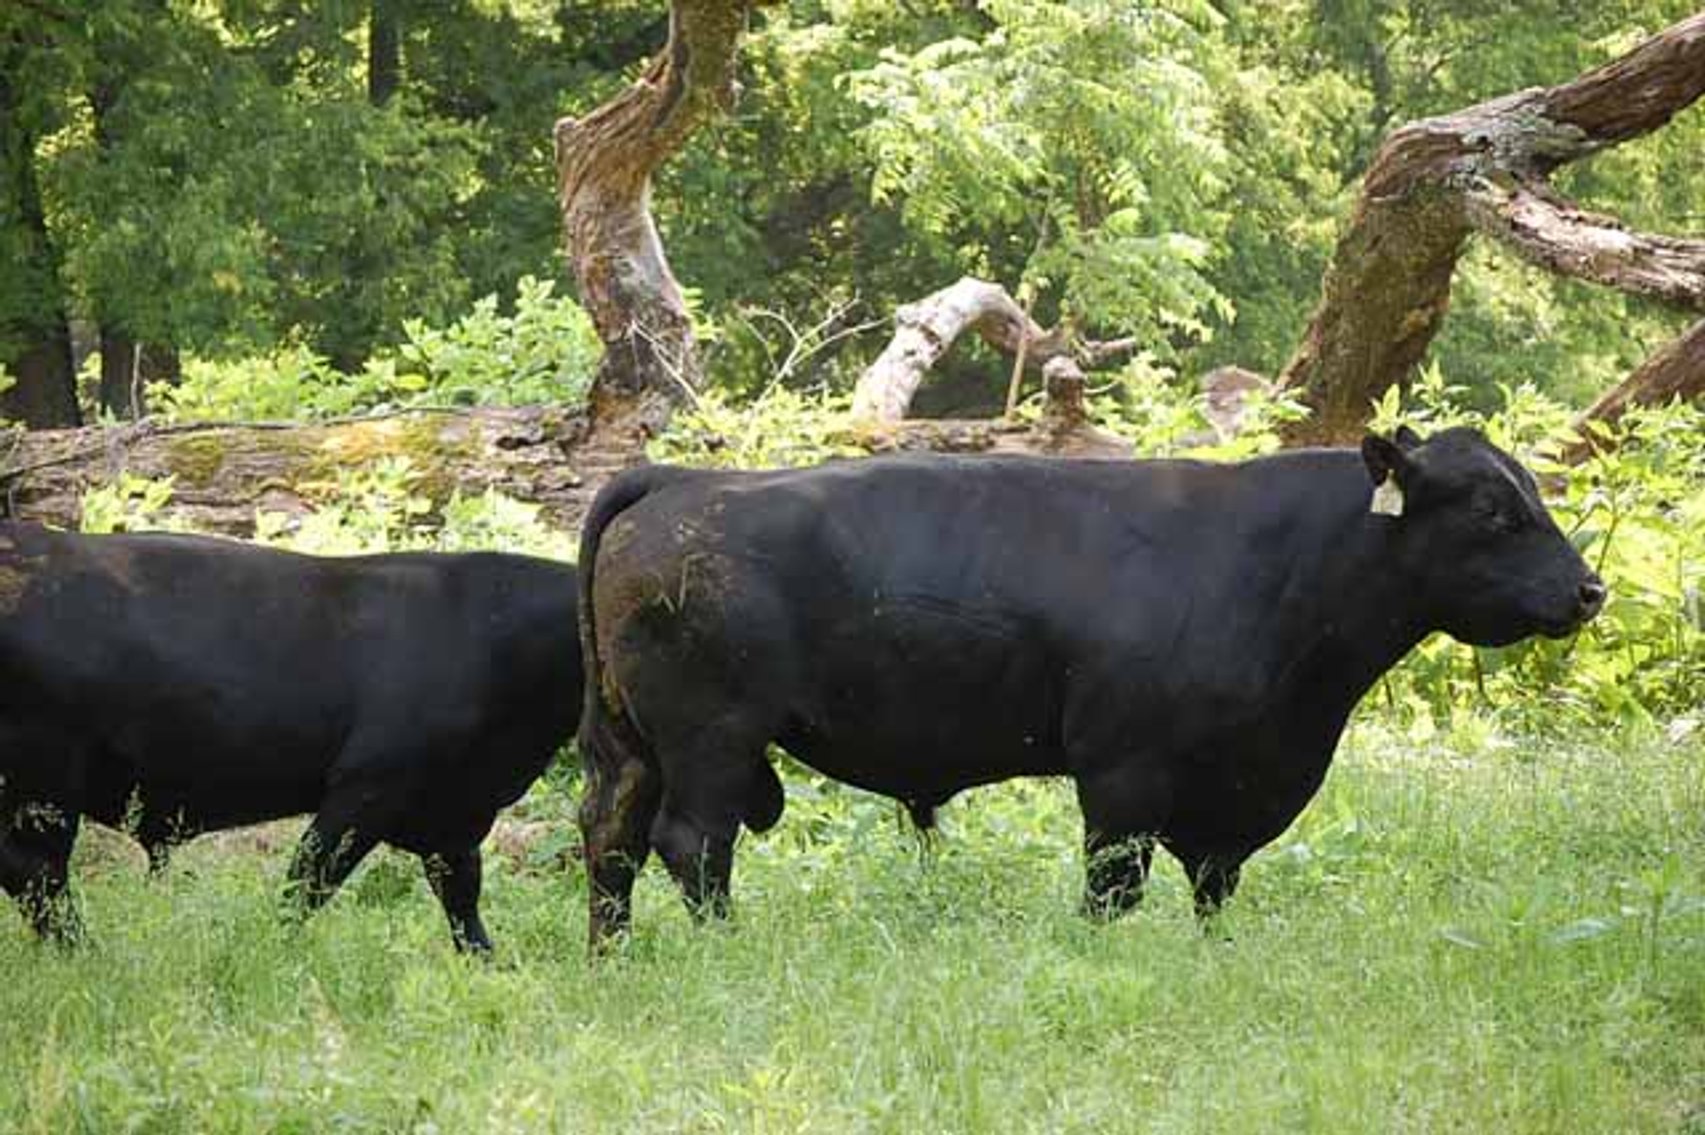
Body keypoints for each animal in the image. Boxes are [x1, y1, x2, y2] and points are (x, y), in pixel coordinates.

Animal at [0, 524, 582, 952]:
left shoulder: (454, 811)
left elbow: (462, 900)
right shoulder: (370, 786)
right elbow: (307, 882)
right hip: (44, 780)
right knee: (36, 872)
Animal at [575, 426, 1604, 945]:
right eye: (1492, 509)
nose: (1588, 589)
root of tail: (681, 479)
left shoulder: (1234, 788)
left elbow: (1214, 882)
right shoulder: (1123, 770)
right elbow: (1114, 883)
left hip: (637, 747)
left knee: (611, 840)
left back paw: (613, 951)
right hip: (712, 737)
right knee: (691, 845)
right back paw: (722, 944)